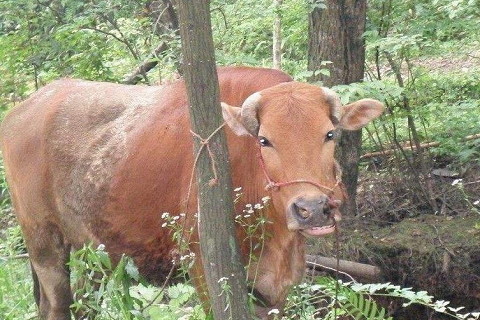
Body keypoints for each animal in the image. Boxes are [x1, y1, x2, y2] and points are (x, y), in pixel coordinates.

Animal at [0, 66, 382, 318]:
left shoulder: (276, 286)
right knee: (57, 303)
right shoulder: (205, 272)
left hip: (93, 250)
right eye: (264, 140)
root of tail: (27, 107)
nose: (312, 209)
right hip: (43, 242)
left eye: (329, 134)